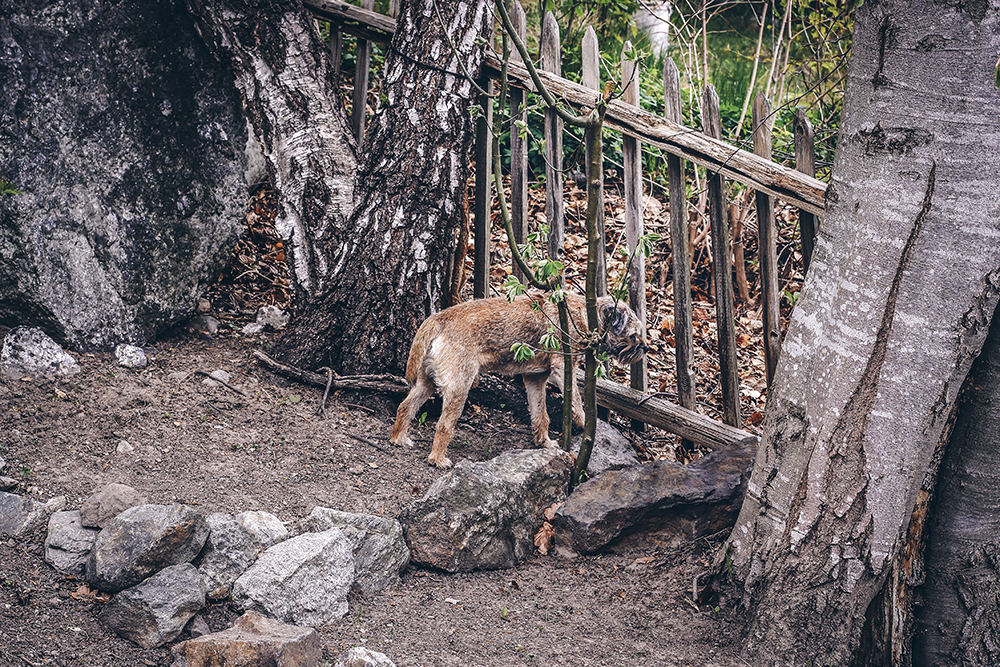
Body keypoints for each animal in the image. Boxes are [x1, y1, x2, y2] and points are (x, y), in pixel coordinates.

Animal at [386, 292, 652, 470]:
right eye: (633, 335)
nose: (646, 348)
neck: (585, 315)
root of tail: (441, 318)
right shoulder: (562, 369)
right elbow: (576, 400)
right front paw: (583, 423)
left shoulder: (535, 378)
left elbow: (540, 414)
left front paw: (544, 442)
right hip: (460, 386)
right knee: (444, 425)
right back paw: (438, 459)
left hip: (426, 382)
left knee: (405, 406)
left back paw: (399, 439)